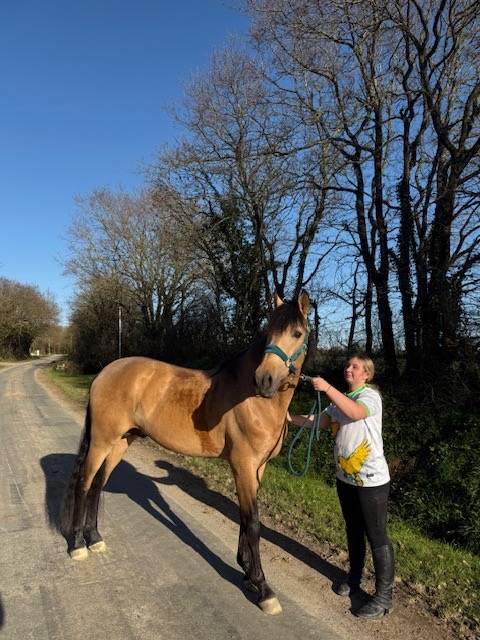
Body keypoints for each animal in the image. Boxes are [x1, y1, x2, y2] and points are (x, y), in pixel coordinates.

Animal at [61, 291, 312, 615]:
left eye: (297, 333)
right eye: (269, 332)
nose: (264, 379)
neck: (253, 400)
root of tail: (104, 372)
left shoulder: (257, 469)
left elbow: (245, 518)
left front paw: (247, 575)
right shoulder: (244, 465)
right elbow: (254, 523)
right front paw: (263, 588)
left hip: (121, 441)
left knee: (98, 485)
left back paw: (94, 539)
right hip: (102, 441)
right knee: (84, 483)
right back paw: (78, 545)